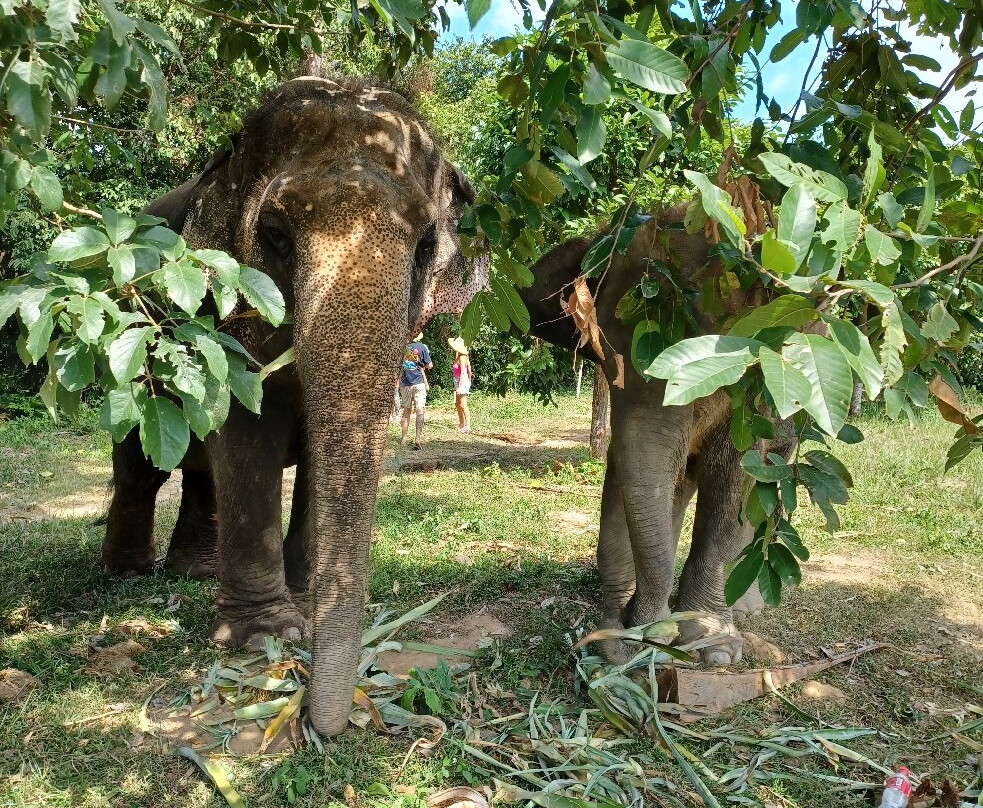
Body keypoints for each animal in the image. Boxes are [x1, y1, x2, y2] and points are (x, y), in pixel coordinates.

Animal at [100, 75, 488, 736]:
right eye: (276, 237)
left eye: (425, 247)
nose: (317, 718)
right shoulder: (216, 313)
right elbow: (247, 437)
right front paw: (266, 637)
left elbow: (312, 454)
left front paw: (304, 603)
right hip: (126, 353)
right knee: (141, 470)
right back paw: (127, 573)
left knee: (203, 475)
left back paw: (194, 571)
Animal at [521, 206, 790, 665]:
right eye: (604, 359)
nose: (648, 631)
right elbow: (625, 478)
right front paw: (624, 637)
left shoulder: (753, 405)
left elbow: (733, 489)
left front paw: (712, 648)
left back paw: (745, 607)